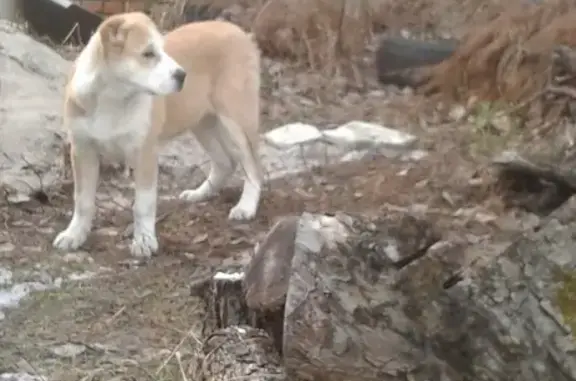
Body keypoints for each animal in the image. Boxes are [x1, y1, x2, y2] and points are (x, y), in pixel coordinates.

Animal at [51, 11, 264, 256]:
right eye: (148, 53)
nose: (183, 75)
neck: (112, 98)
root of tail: (240, 32)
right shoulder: (82, 150)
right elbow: (83, 200)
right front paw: (75, 234)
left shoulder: (144, 153)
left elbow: (143, 203)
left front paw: (144, 240)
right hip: (203, 122)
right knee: (225, 162)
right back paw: (200, 194)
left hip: (236, 121)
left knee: (253, 167)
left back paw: (246, 207)